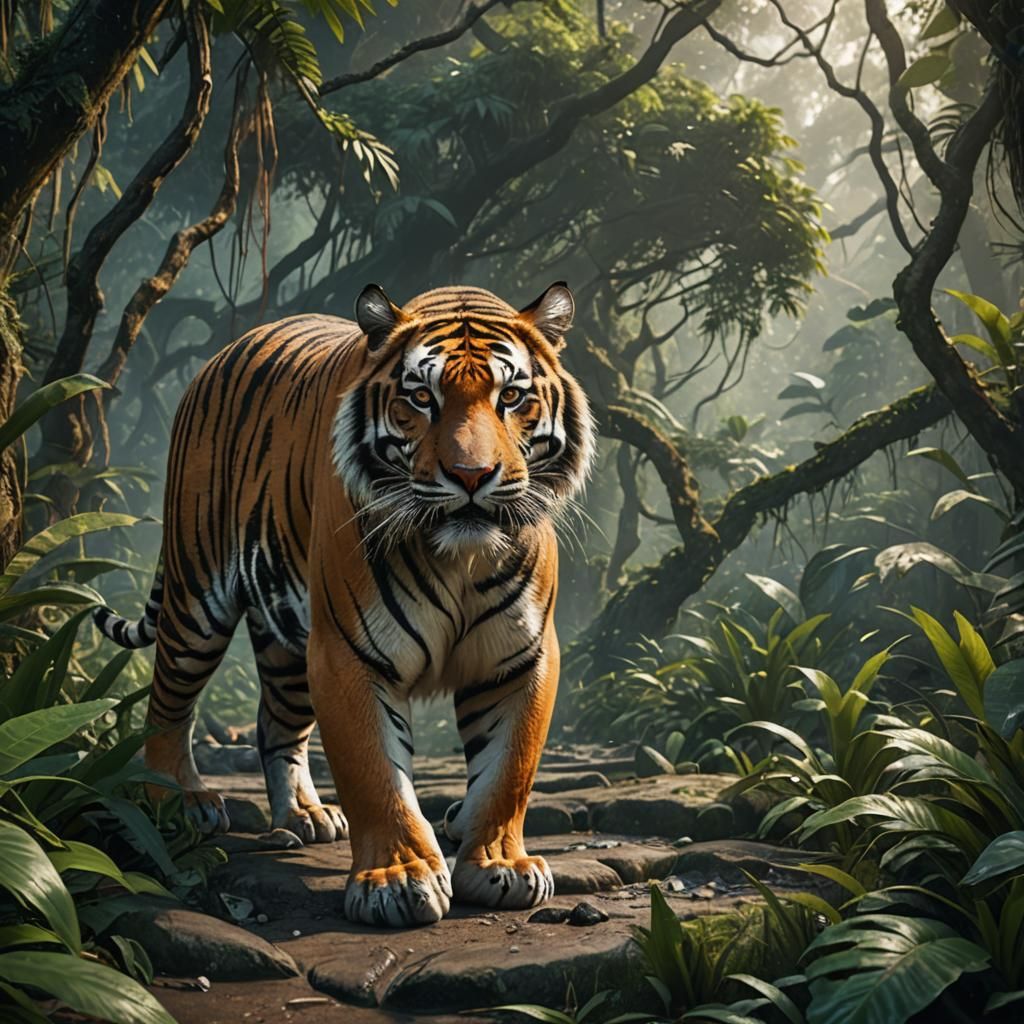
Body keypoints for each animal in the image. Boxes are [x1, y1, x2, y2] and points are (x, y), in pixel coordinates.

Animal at [93, 282, 594, 926]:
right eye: (422, 398)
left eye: (511, 396)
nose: (471, 475)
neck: (458, 557)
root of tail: (231, 347)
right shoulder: (350, 653)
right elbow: (375, 772)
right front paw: (398, 880)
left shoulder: (521, 656)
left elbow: (510, 770)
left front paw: (498, 865)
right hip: (196, 596)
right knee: (168, 704)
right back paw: (178, 803)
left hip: (287, 637)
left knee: (275, 723)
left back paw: (304, 815)